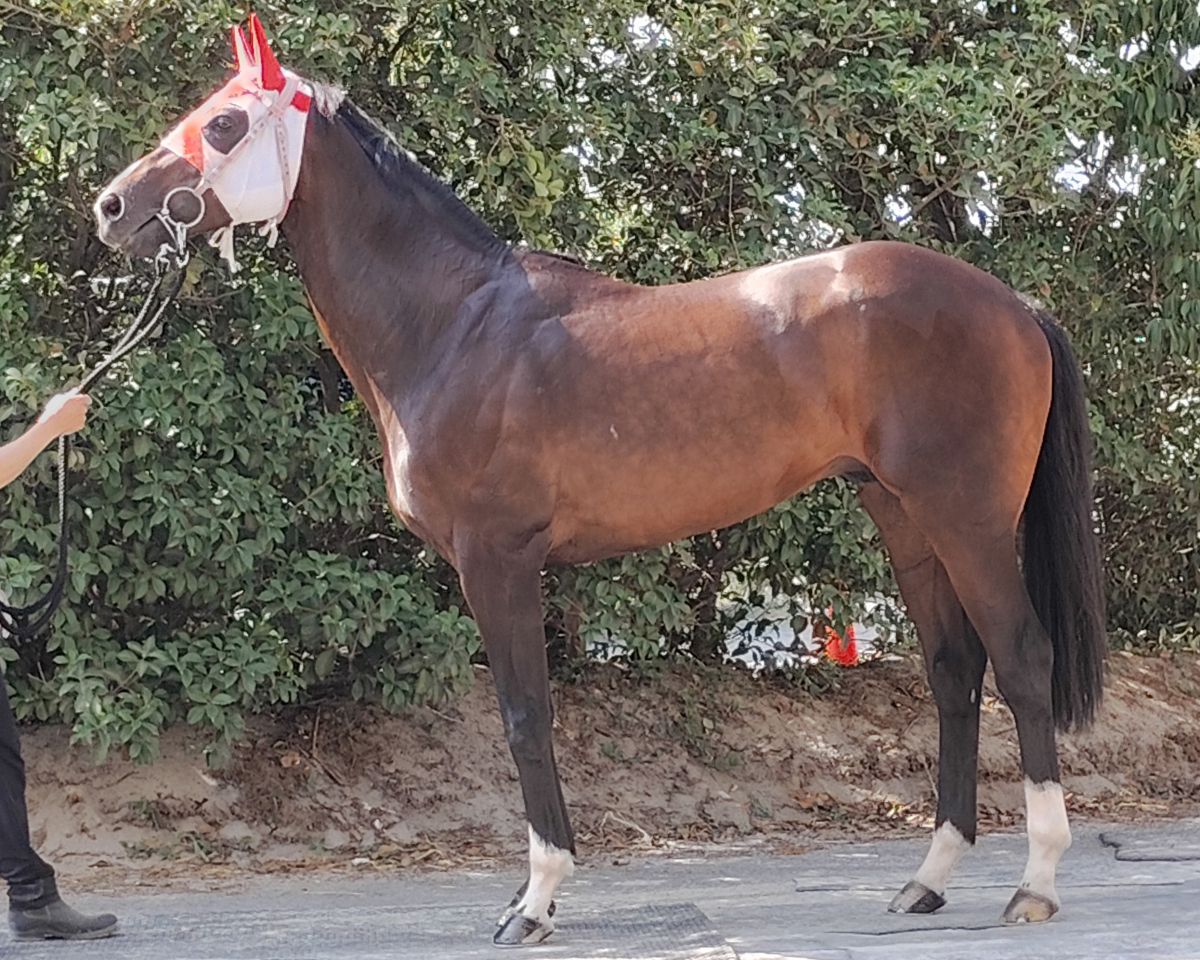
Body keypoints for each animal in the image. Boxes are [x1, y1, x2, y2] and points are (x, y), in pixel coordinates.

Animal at [94, 14, 1105, 947]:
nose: (110, 207)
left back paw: (1036, 884)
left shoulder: (497, 560)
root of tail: (1015, 304)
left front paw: (535, 902)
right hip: (902, 515)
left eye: (224, 124)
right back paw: (927, 880)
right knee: (953, 671)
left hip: (965, 517)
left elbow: (523, 717)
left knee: (1022, 660)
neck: (455, 325)